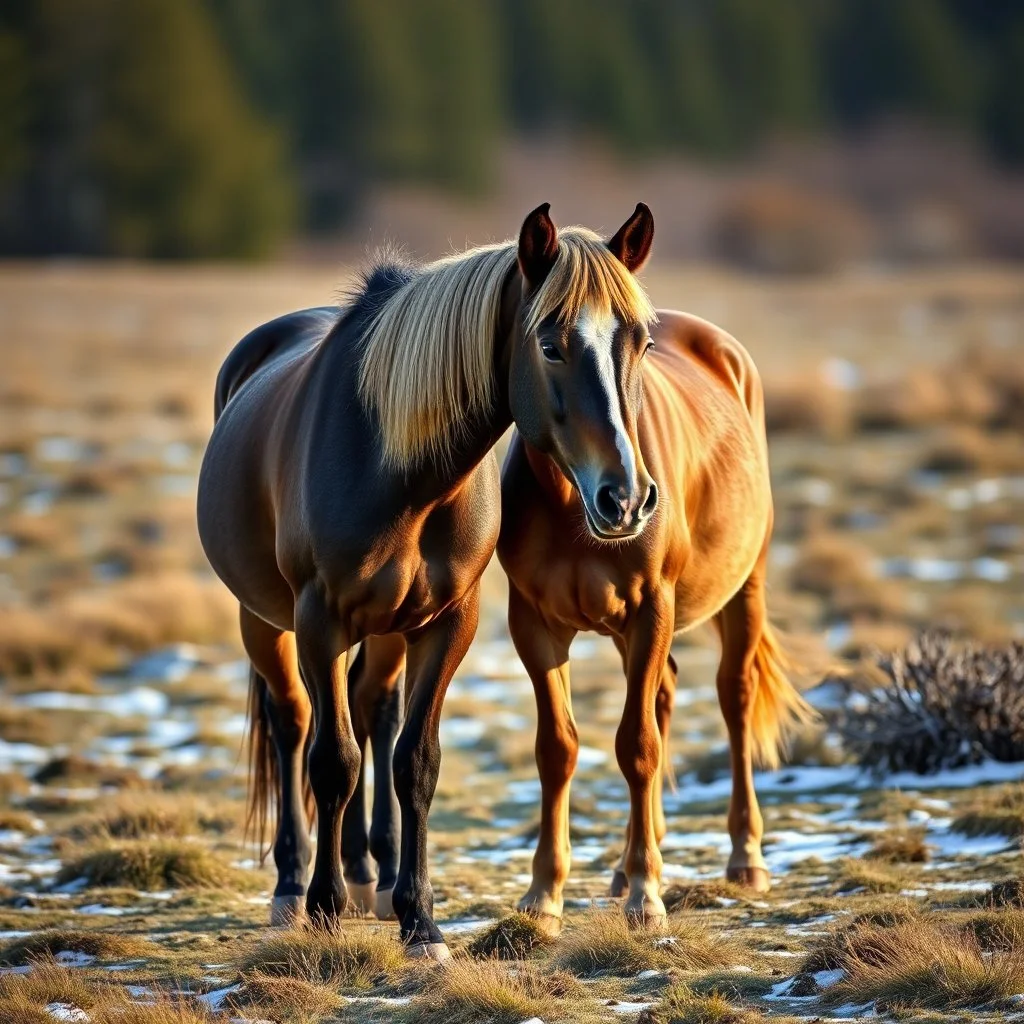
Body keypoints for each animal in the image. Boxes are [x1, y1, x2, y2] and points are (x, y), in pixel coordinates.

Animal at [195, 201, 659, 958]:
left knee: (371, 711)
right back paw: (294, 886)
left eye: (642, 343)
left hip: (386, 629)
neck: (398, 468)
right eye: (552, 346)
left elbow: (414, 759)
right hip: (265, 620)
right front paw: (323, 907)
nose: (626, 498)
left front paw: (420, 920)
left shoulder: (447, 621)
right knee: (293, 724)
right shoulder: (320, 620)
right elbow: (331, 760)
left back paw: (370, 874)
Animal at [495, 282, 815, 937]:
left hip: (743, 590)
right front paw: (544, 896)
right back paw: (627, 866)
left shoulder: (651, 610)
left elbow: (637, 747)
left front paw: (647, 896)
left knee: (733, 698)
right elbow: (557, 750)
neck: (569, 505)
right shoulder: (535, 626)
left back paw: (746, 859)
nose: (626, 500)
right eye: (548, 346)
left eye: (641, 347)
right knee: (664, 696)